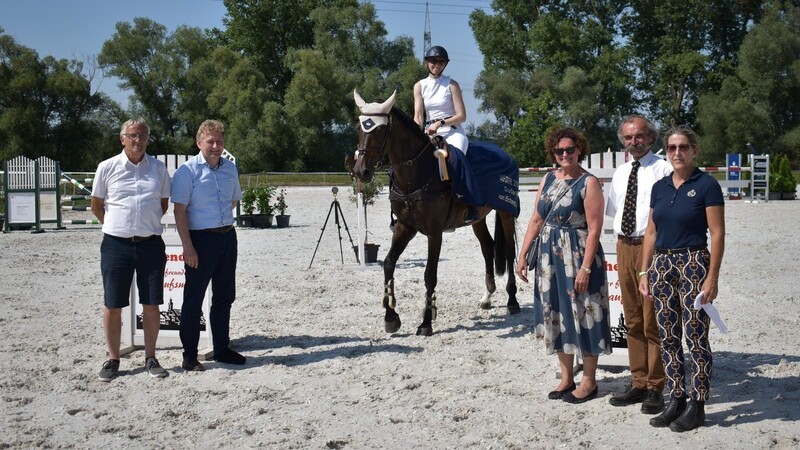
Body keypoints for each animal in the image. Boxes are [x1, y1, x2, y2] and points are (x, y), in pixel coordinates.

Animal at [350, 89, 520, 336]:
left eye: (381, 130)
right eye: (359, 127)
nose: (361, 171)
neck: (415, 174)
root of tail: (506, 154)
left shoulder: (434, 232)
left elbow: (430, 274)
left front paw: (426, 322)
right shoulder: (404, 227)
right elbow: (389, 263)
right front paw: (391, 317)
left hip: (506, 212)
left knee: (508, 251)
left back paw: (512, 301)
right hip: (478, 218)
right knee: (488, 247)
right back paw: (487, 298)